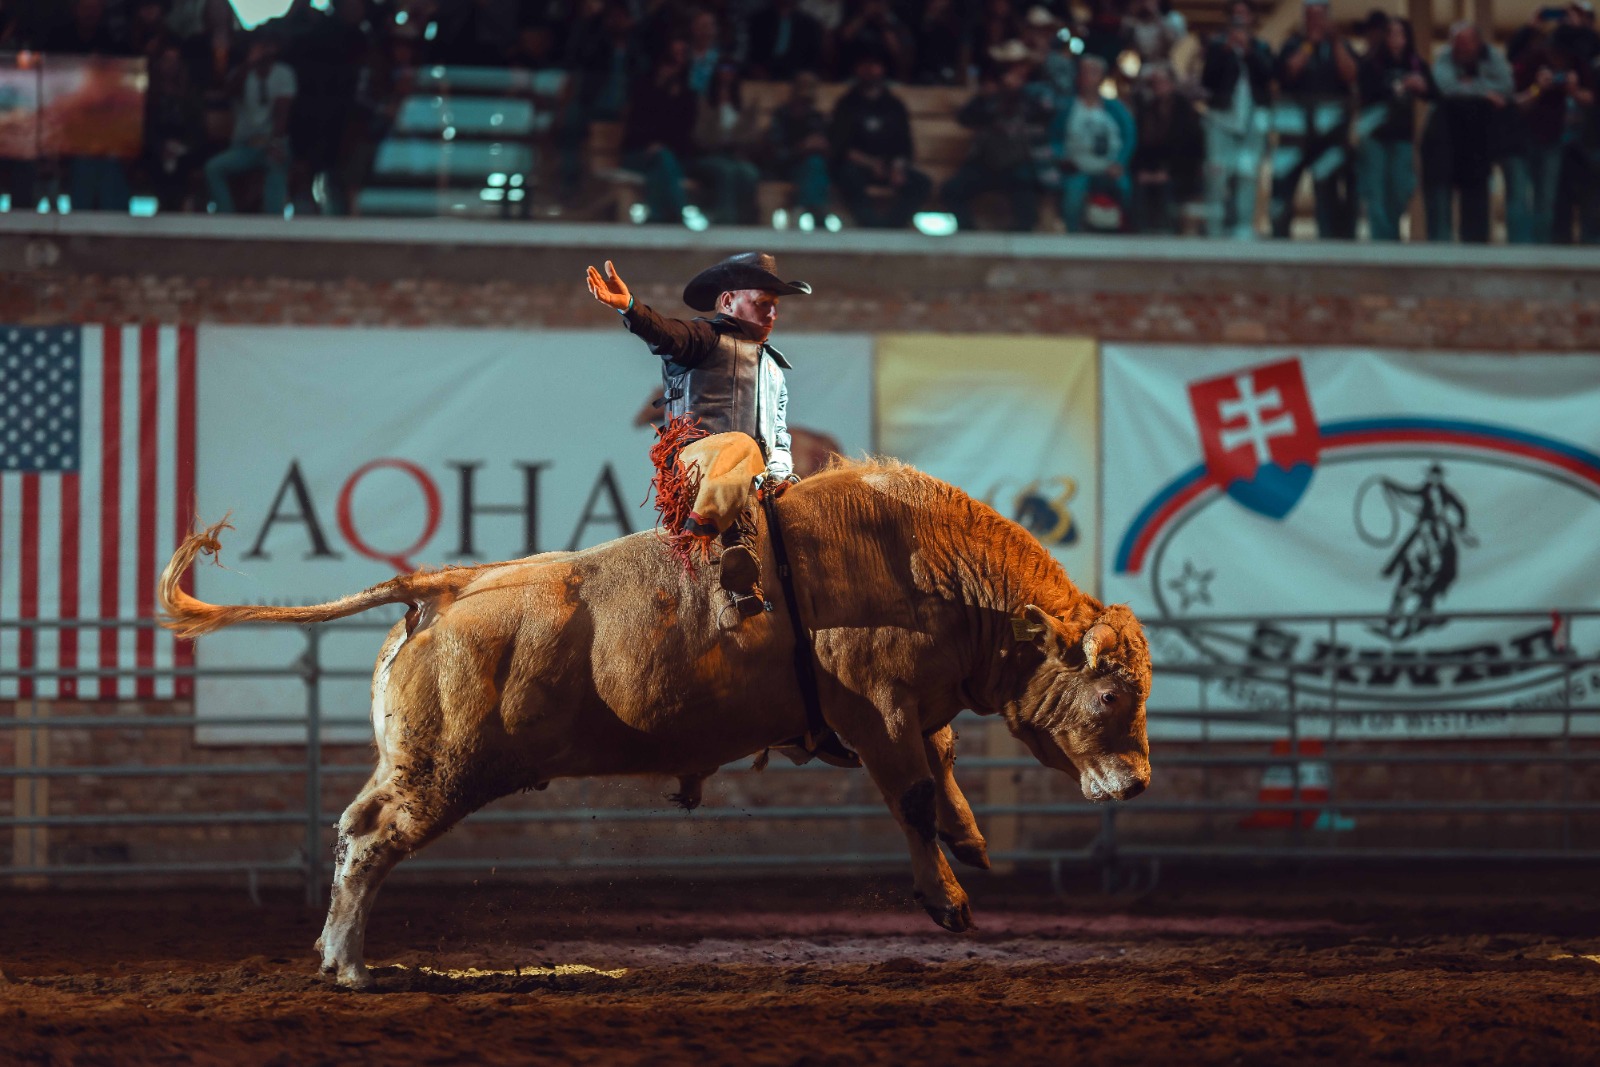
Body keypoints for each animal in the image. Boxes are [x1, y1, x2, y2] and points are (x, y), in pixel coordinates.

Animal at [159, 458, 1152, 989]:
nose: (1138, 782)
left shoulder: (912, 713)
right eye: (1111, 694)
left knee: (351, 826)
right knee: (372, 842)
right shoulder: (879, 709)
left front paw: (973, 839)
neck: (921, 561)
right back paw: (353, 964)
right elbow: (910, 793)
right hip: (444, 770)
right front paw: (946, 899)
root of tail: (447, 587)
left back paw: (335, 955)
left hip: (408, 759)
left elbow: (940, 772)